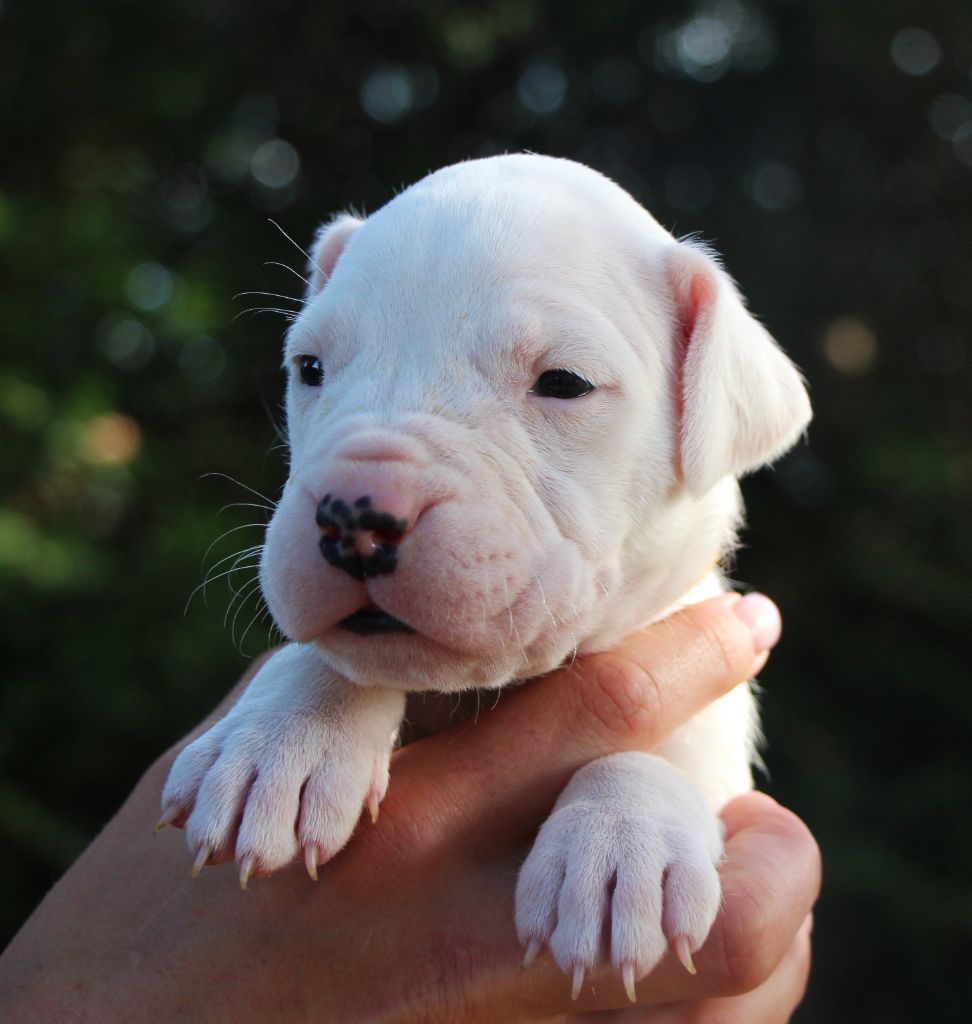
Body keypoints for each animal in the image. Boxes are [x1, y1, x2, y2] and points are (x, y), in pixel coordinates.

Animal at [160, 151, 811, 999]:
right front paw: (278, 739)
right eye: (310, 368)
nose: (350, 515)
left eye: (564, 382)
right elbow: (331, 656)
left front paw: (621, 839)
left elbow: (668, 743)